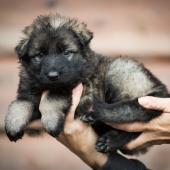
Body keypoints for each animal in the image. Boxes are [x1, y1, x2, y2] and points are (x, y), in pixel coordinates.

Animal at [4, 13, 169, 155]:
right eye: (39, 55)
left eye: (66, 52)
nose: (53, 76)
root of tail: (160, 87)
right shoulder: (27, 91)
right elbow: (19, 105)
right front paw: (13, 125)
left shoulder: (74, 87)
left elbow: (51, 98)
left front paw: (51, 121)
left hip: (119, 73)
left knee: (132, 121)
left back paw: (107, 136)